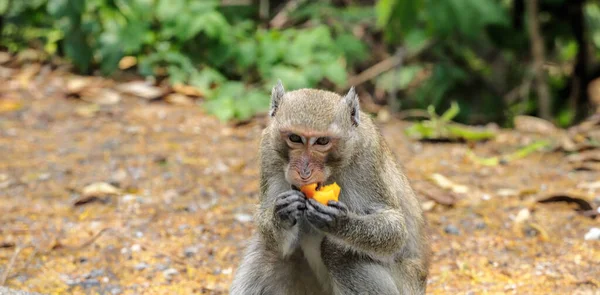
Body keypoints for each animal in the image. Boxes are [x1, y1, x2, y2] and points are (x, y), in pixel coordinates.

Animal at [230, 81, 432, 295]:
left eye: (322, 141)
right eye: (295, 138)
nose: (304, 171)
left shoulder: (368, 155)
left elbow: (395, 227)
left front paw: (339, 222)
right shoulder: (268, 150)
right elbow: (268, 220)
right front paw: (282, 214)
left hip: (408, 283)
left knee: (339, 253)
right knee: (269, 250)